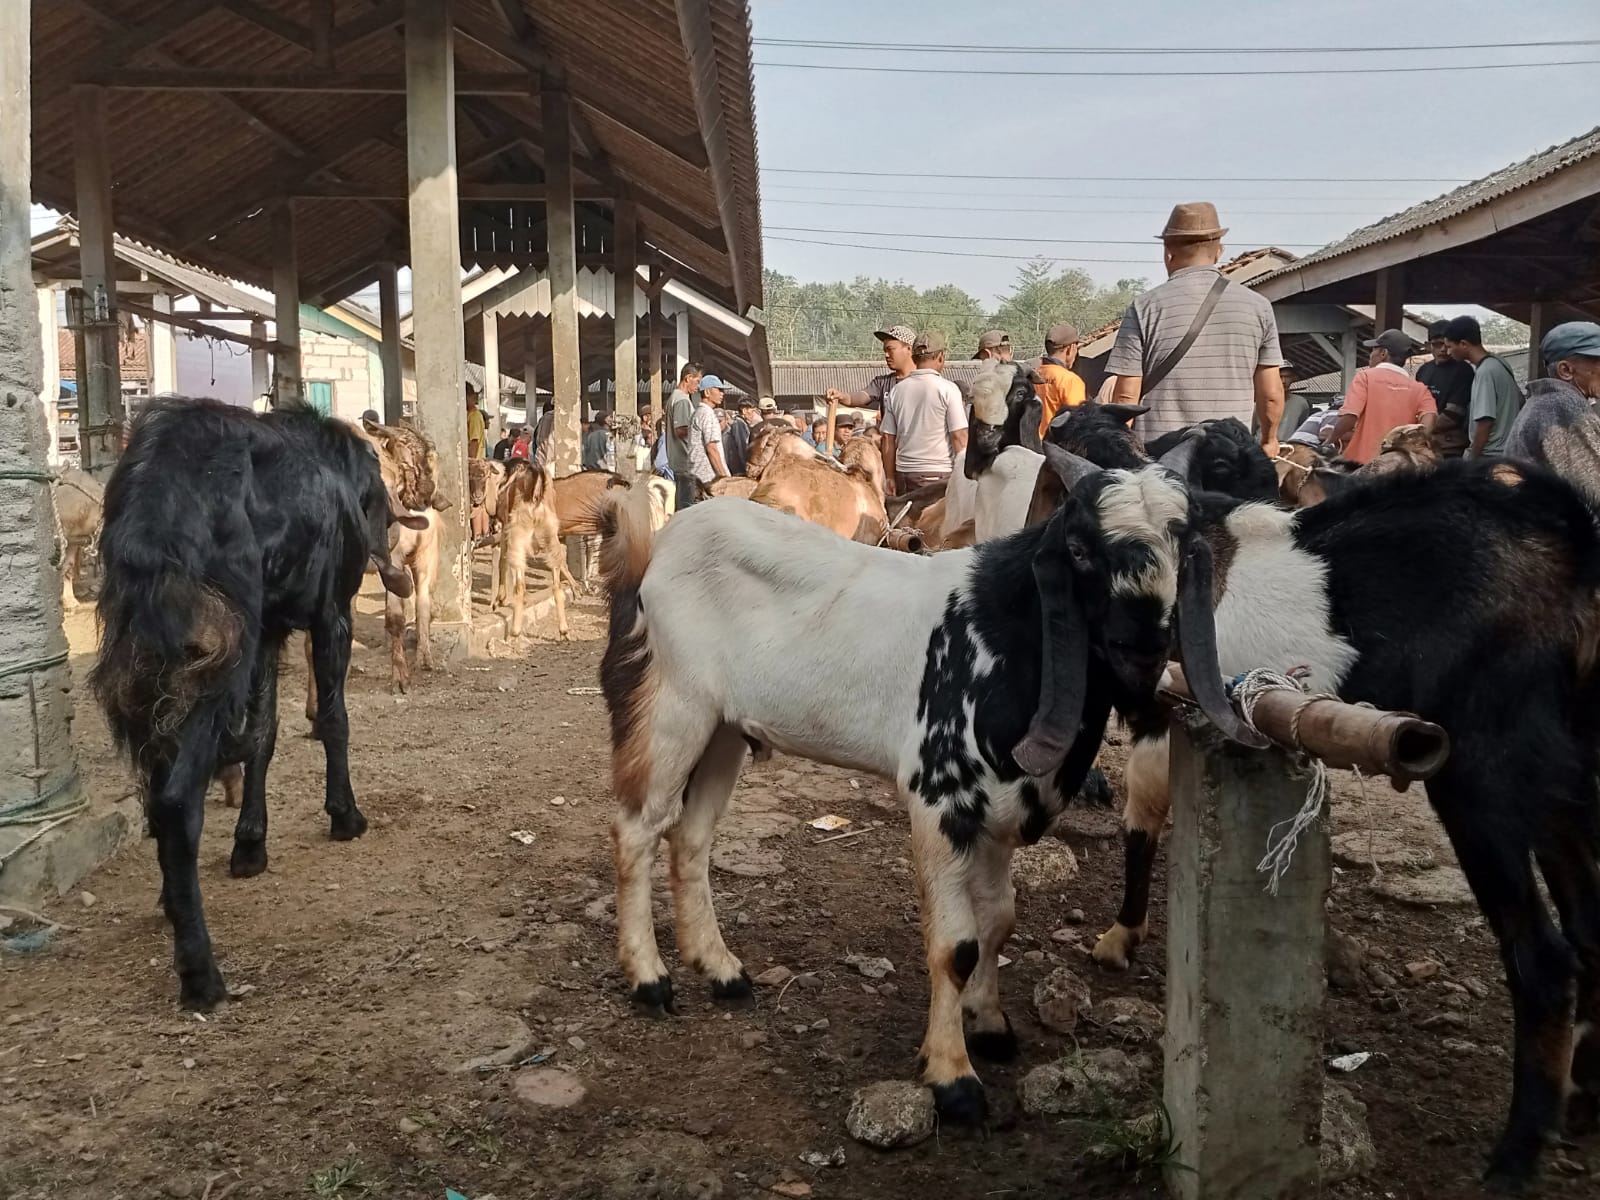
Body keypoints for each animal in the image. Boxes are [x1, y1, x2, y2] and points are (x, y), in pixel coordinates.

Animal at [90, 400, 422, 1011]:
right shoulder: (329, 615)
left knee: (155, 789)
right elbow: (332, 721)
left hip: (152, 666)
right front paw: (344, 814)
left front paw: (250, 843)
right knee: (176, 799)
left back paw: (172, 901)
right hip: (218, 653)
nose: (395, 576)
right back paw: (200, 972)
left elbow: (263, 736)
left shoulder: (269, 631)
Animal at [595, 444, 1254, 1126]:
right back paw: (649, 979)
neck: (1001, 632)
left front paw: (990, 1025)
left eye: (1185, 542)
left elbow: (998, 923)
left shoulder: (997, 814)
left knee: (691, 839)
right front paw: (953, 1077)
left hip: (723, 728)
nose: (1143, 645)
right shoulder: (940, 801)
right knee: (636, 829)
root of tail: (655, 551)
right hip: (671, 708)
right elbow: (955, 946)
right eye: (1079, 548)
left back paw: (721, 970)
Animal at [1017, 404, 1600, 1196]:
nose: (1143, 639)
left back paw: (1515, 1156)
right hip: (1564, 774)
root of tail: (1566, 534)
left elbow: (1143, 815)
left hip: (1484, 770)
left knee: (1542, 955)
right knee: (1592, 924)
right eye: (1079, 541)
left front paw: (1118, 937)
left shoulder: (1167, 715)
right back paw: (1585, 1101)